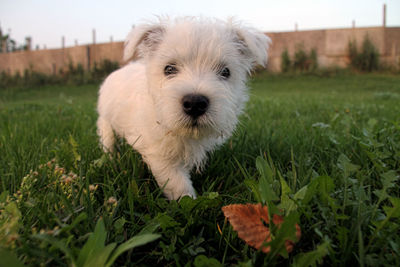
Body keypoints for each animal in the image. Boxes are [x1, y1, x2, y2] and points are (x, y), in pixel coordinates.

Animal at [97, 16, 268, 200]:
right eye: (169, 69)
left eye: (225, 72)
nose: (195, 104)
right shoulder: (160, 155)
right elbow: (177, 183)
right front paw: (188, 201)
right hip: (106, 120)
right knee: (107, 137)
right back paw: (111, 157)